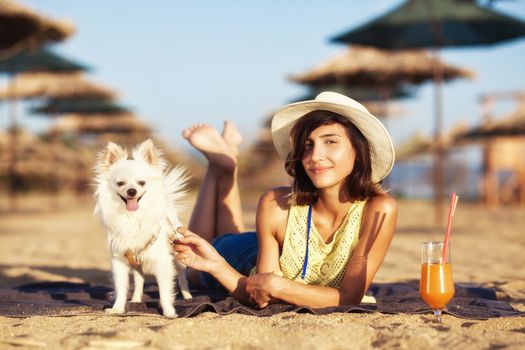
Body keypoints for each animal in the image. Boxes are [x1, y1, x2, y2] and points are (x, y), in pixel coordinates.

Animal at [94, 139, 192, 318]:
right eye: (120, 183)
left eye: (141, 183)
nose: (132, 191)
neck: (132, 216)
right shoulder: (119, 261)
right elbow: (121, 289)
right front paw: (117, 309)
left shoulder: (163, 262)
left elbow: (164, 292)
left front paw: (169, 312)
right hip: (136, 264)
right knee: (139, 280)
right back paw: (136, 300)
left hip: (179, 253)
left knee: (182, 277)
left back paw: (188, 297)